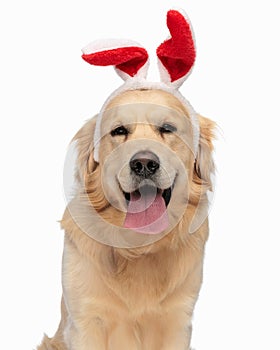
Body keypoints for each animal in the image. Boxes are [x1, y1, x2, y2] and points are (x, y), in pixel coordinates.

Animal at [37, 88, 214, 350]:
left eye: (167, 128)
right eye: (119, 131)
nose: (144, 164)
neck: (138, 244)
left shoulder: (177, 319)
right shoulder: (87, 319)